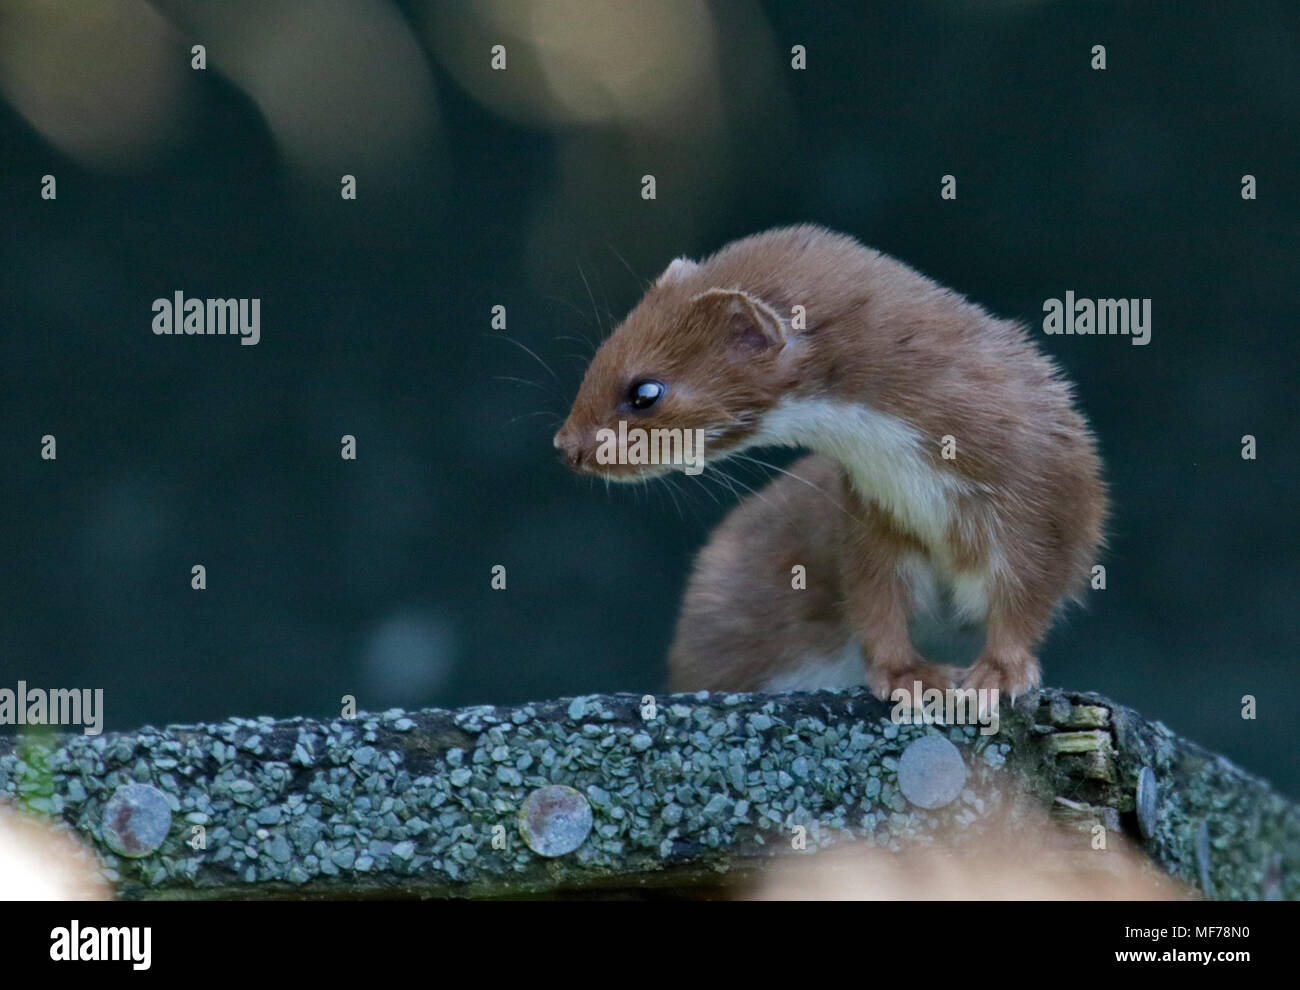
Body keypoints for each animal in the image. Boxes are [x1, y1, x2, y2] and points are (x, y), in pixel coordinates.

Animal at [553, 226, 1102, 696]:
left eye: (644, 391)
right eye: (600, 356)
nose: (565, 446)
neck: (923, 486)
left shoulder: (1041, 499)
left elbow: (1026, 593)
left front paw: (997, 674)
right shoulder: (869, 512)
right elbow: (875, 599)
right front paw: (909, 678)